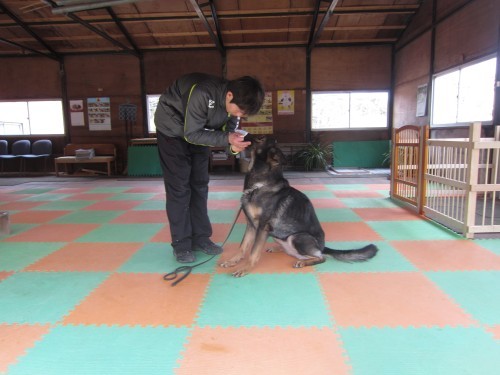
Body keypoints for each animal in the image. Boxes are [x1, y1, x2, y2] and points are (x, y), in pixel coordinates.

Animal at [220, 137, 378, 278]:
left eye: (261, 139)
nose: (243, 136)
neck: (259, 185)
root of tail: (322, 246)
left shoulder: (262, 227)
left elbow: (253, 252)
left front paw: (245, 269)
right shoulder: (251, 225)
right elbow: (243, 247)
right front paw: (232, 261)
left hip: (297, 237)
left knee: (321, 257)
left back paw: (303, 262)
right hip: (277, 235)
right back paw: (278, 248)